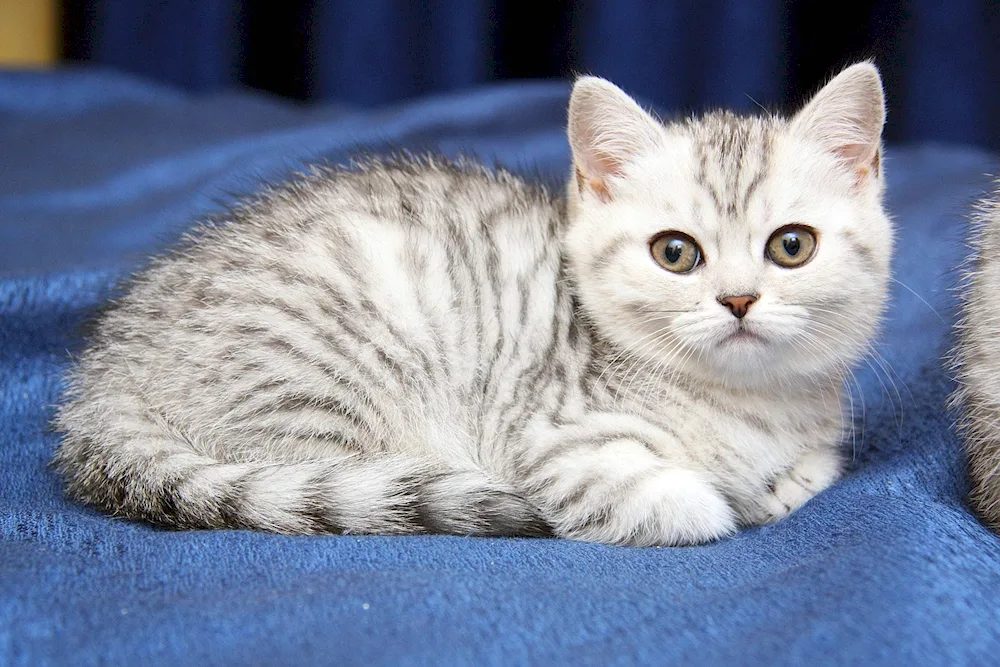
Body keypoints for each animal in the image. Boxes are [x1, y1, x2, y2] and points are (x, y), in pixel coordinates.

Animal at [52, 64, 892, 548]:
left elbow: (814, 473)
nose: (739, 298)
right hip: (324, 389)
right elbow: (690, 507)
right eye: (675, 253)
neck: (748, 407)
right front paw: (731, 497)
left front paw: (781, 483)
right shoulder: (558, 440)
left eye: (791, 245)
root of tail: (107, 373)